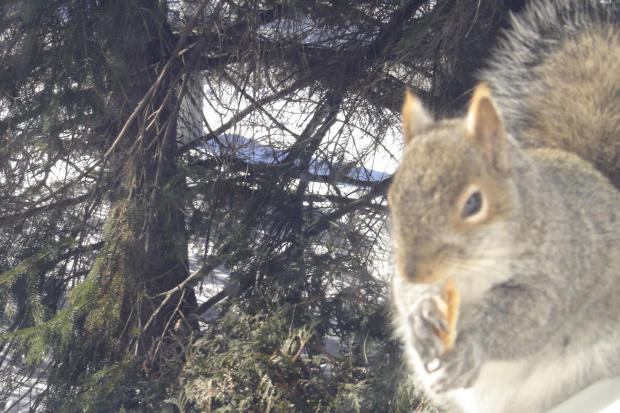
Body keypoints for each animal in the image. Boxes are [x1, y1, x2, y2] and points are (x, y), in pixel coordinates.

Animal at [390, 0, 620, 412]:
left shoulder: (560, 270)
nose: (416, 271)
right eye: (393, 194)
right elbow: (403, 293)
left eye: (473, 203)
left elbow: (528, 316)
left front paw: (473, 344)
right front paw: (419, 314)